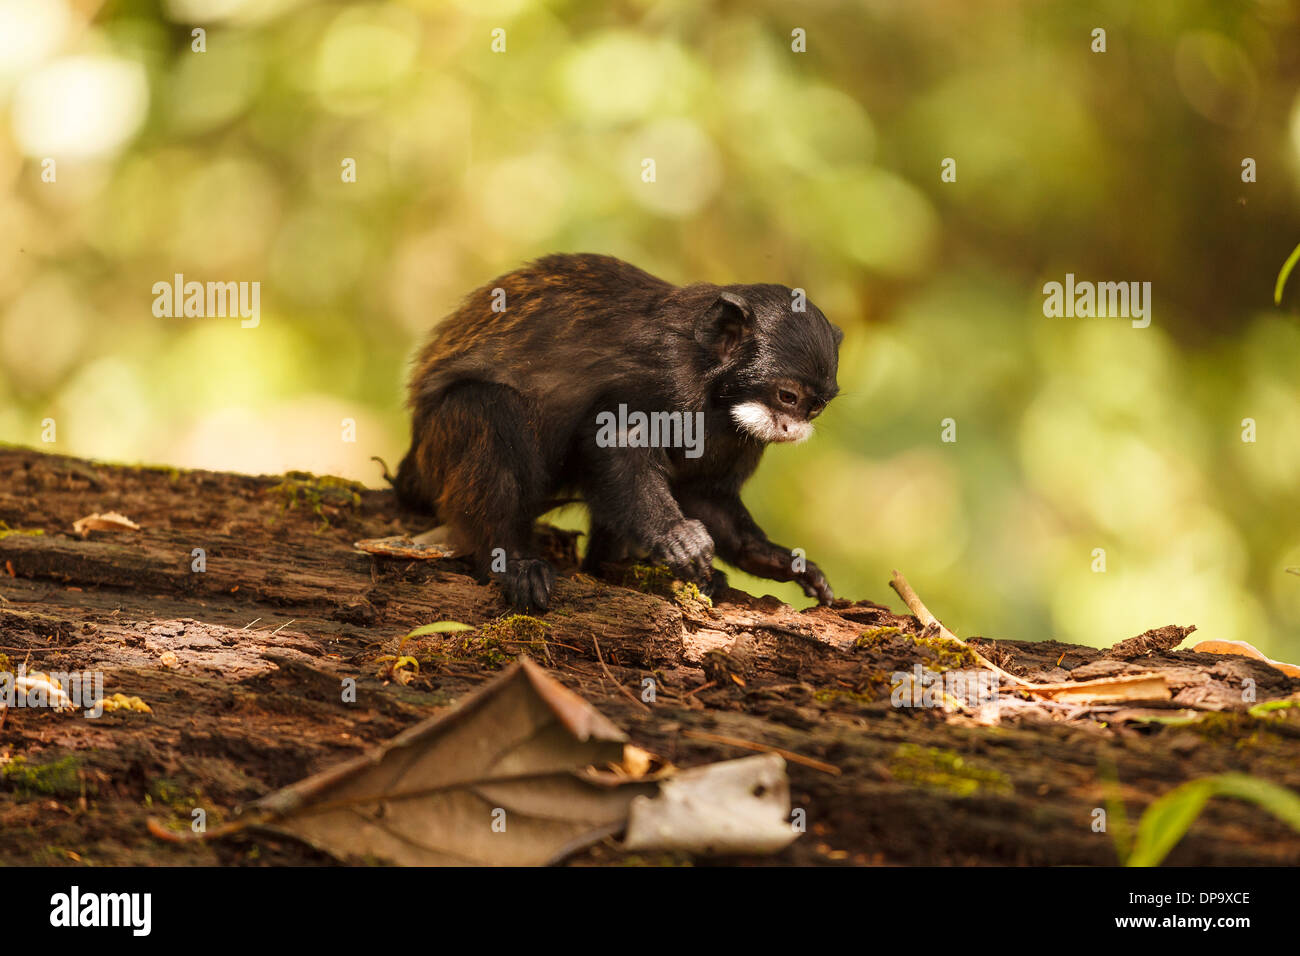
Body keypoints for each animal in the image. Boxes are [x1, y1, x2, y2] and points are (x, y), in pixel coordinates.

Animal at [392, 252, 842, 613]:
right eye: (787, 396)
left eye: (814, 407)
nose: (793, 427)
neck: (713, 386)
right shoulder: (666, 373)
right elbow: (614, 441)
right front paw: (673, 534)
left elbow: (704, 495)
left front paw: (770, 558)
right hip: (436, 451)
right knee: (486, 405)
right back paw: (512, 561)